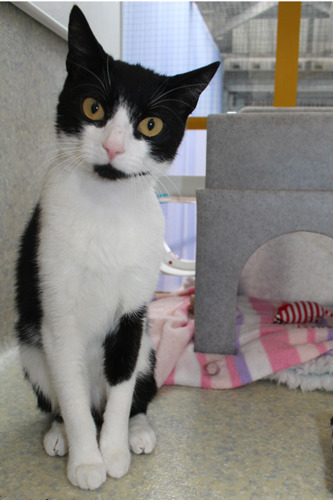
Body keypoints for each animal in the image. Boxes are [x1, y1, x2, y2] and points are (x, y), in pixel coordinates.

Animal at [15, 5, 219, 492]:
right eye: (93, 107)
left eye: (151, 124)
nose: (111, 146)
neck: (105, 209)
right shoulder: (56, 312)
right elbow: (69, 392)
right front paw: (87, 460)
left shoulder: (134, 312)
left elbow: (123, 382)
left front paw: (113, 452)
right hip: (30, 347)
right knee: (59, 395)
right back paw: (59, 433)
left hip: (149, 346)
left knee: (138, 388)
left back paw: (137, 430)